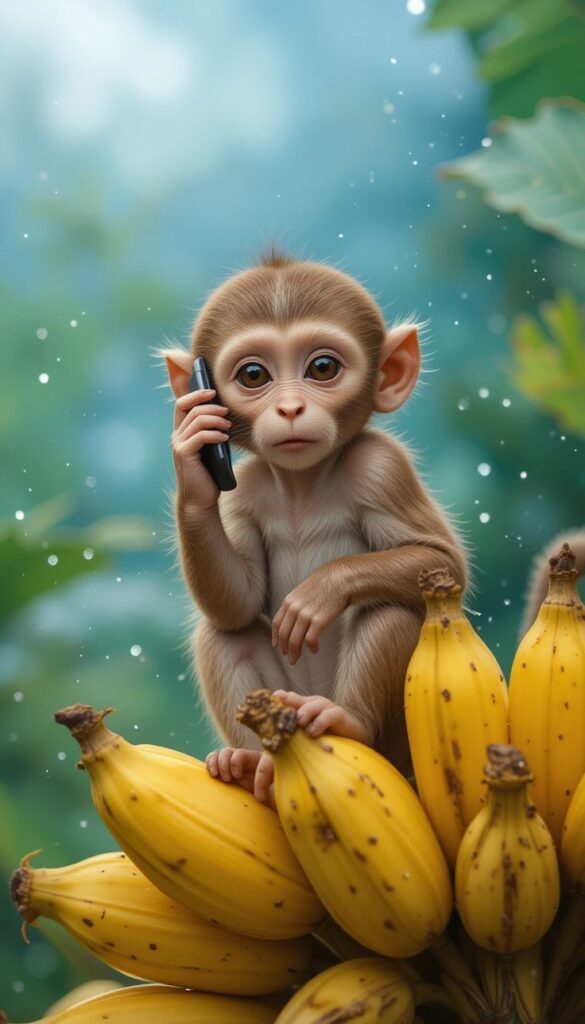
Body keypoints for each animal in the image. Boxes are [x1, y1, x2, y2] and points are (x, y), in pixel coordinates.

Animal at [158, 249, 469, 806]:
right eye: (254, 375)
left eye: (322, 367)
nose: (290, 408)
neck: (303, 484)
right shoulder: (244, 492)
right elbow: (237, 603)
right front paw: (193, 462)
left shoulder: (381, 466)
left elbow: (442, 562)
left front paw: (321, 591)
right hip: (285, 700)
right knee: (224, 634)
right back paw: (249, 764)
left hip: (393, 744)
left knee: (389, 608)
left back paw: (348, 720)